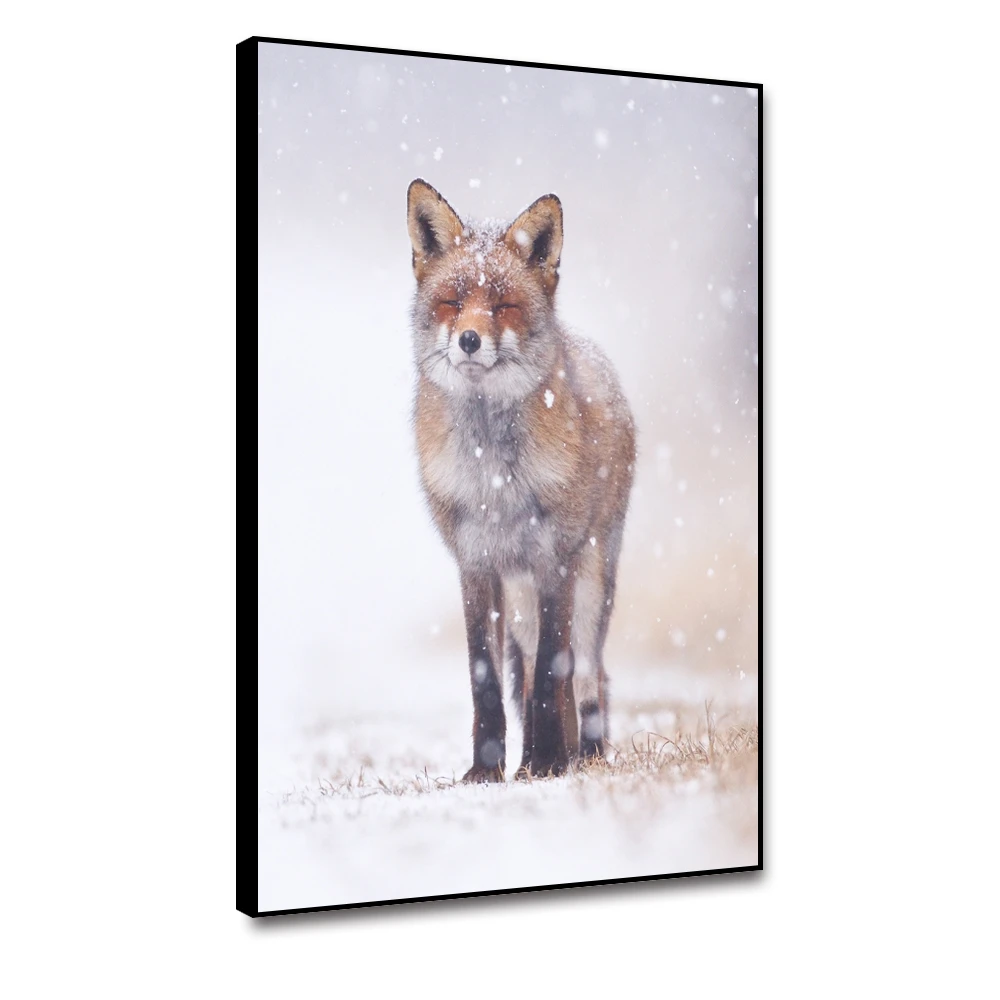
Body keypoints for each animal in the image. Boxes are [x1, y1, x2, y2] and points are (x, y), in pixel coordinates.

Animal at [407, 178, 636, 782]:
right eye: (453, 302)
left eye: (503, 305)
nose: (468, 339)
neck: (494, 477)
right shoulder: (475, 564)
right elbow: (487, 678)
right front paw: (485, 771)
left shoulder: (554, 558)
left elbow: (555, 673)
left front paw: (554, 762)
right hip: (519, 595)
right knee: (530, 669)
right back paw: (530, 758)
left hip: (591, 580)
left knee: (585, 673)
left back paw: (580, 756)